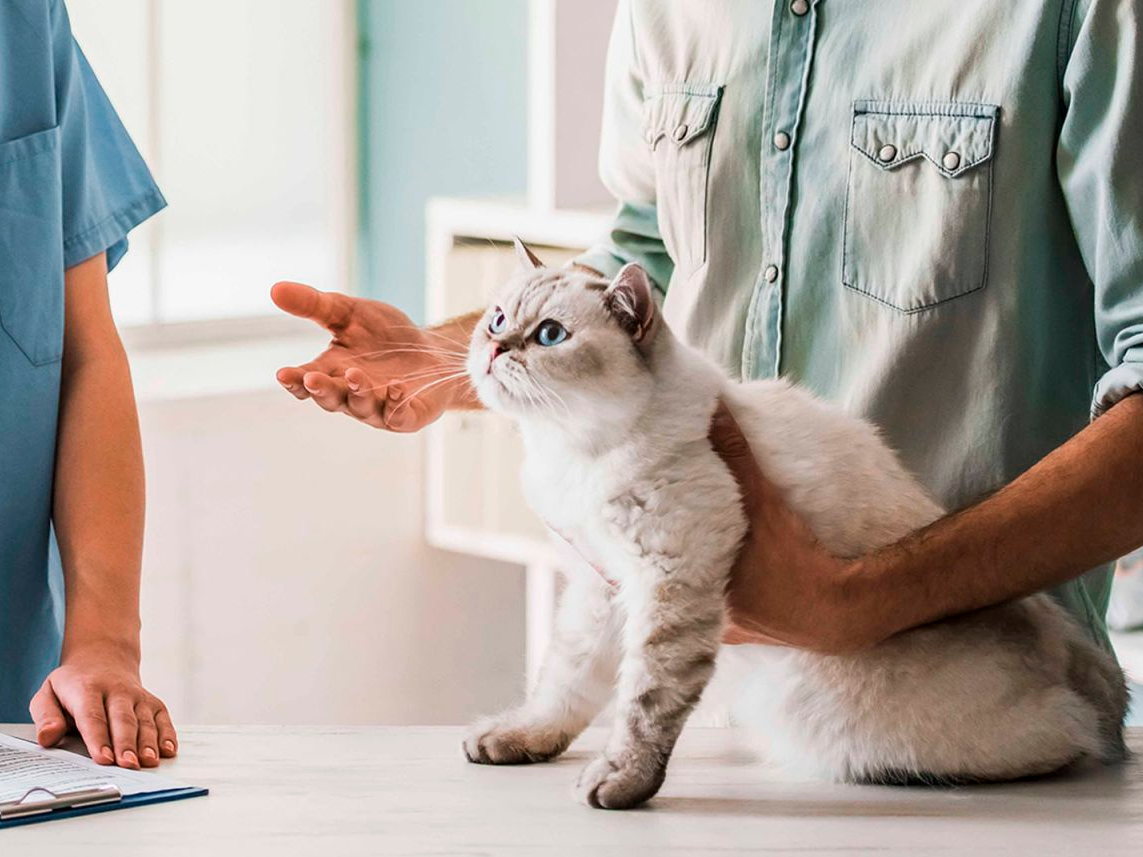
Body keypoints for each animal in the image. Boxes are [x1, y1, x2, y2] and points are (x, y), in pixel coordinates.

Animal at [459, 242, 1129, 813]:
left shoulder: (669, 582)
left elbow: (645, 700)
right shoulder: (601, 586)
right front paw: (518, 738)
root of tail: (1072, 655)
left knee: (1077, 740)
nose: (494, 352)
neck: (571, 452)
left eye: (550, 335)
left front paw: (621, 783)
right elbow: (566, 680)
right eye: (497, 320)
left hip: (836, 720)